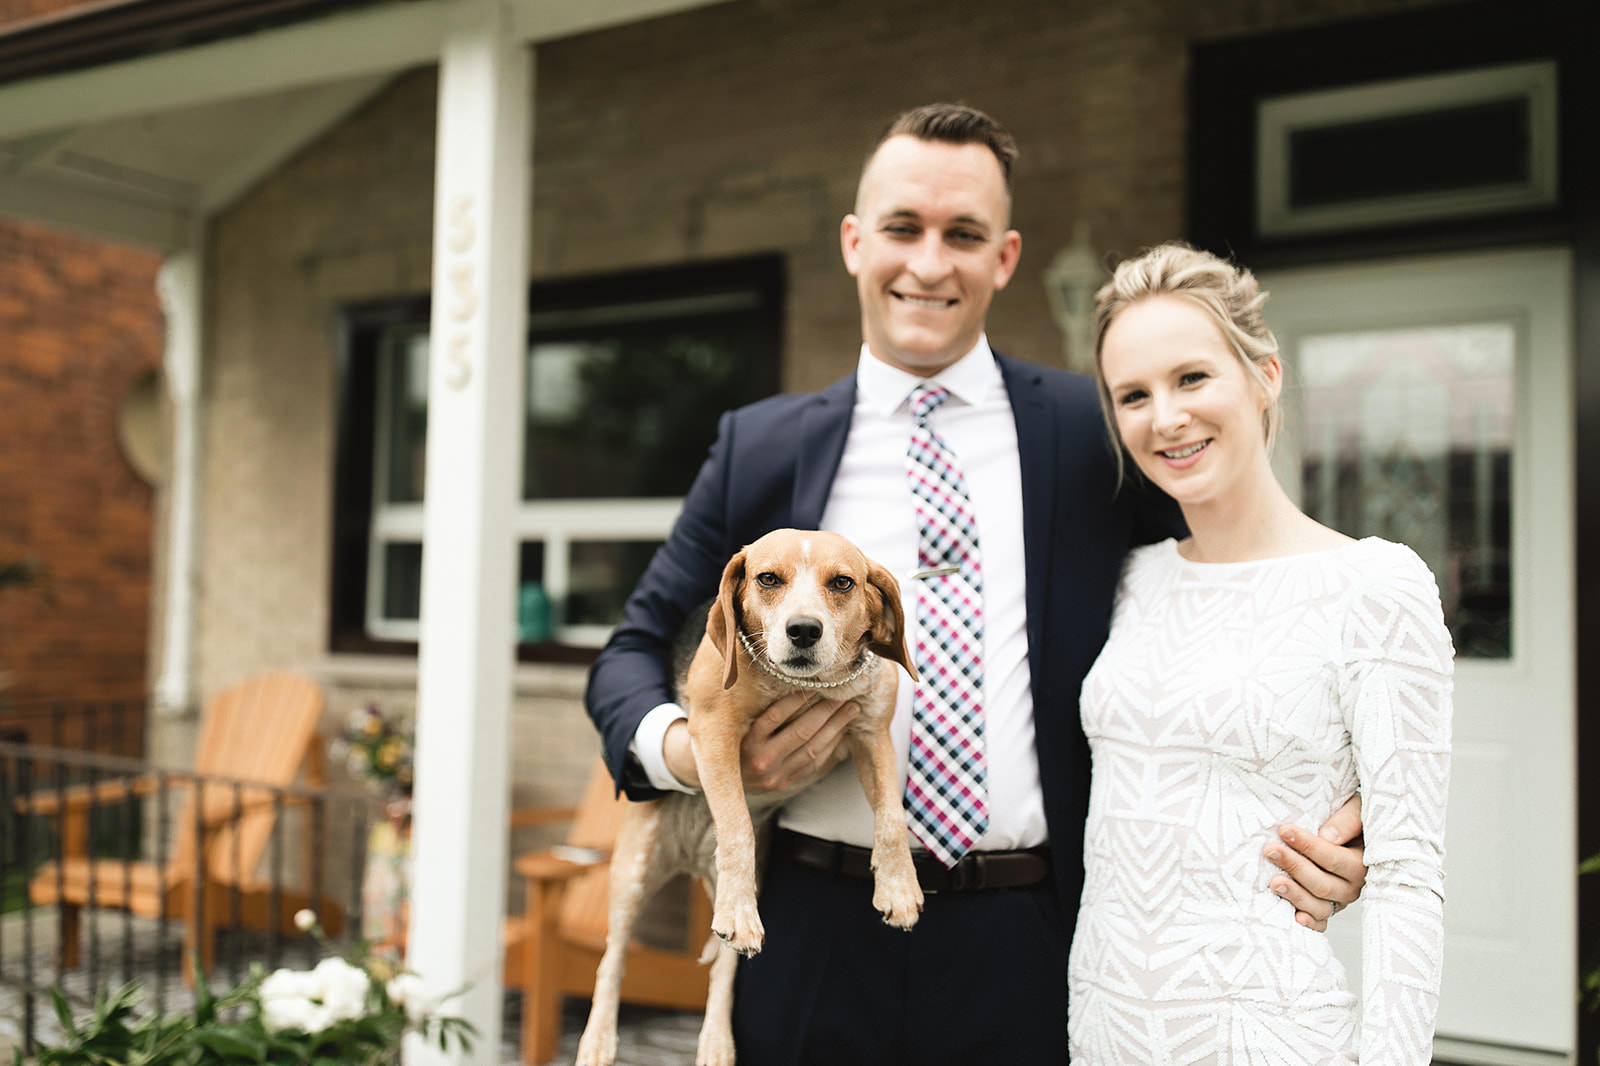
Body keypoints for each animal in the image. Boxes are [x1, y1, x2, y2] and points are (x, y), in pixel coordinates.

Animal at [576, 528, 928, 1062]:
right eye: (768, 579)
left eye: (842, 583)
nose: (803, 630)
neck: (804, 685)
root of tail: (694, 859)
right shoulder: (714, 732)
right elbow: (738, 825)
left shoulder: (872, 736)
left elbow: (891, 817)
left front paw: (899, 888)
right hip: (631, 875)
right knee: (611, 962)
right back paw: (598, 1040)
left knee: (724, 969)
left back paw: (717, 1040)